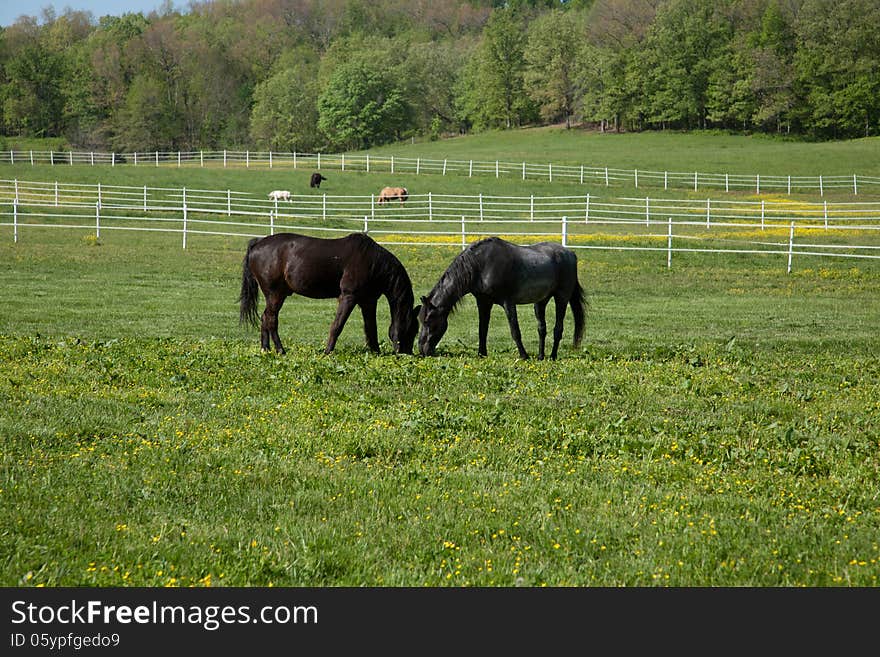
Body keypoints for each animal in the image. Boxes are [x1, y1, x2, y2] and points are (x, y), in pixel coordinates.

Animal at [239, 231, 422, 354]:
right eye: (412, 329)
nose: (407, 353)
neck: (373, 263)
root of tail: (257, 244)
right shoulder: (348, 297)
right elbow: (337, 326)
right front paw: (328, 351)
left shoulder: (368, 301)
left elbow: (371, 328)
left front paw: (375, 352)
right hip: (275, 294)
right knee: (271, 320)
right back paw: (280, 350)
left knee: (265, 318)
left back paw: (265, 349)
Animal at [418, 236, 584, 358]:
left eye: (428, 321)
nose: (421, 350)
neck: (481, 265)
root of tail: (571, 254)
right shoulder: (483, 302)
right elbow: (482, 329)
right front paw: (482, 354)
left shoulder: (508, 303)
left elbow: (515, 331)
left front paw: (524, 356)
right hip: (541, 301)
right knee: (542, 328)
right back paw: (540, 356)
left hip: (561, 298)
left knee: (558, 329)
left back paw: (552, 356)